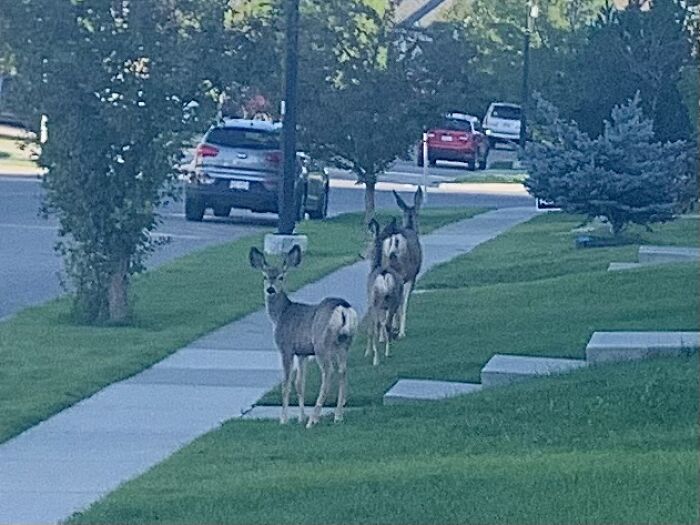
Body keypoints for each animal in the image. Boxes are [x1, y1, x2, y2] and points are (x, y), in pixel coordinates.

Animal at [249, 245, 358, 428]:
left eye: (281, 276)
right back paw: (337, 416)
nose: (270, 289)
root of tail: (343, 308)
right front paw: (300, 417)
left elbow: (286, 384)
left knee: (328, 373)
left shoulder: (286, 348)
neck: (280, 315)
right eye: (264, 276)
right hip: (344, 342)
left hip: (321, 343)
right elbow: (300, 384)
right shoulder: (302, 353)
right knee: (343, 370)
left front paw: (284, 420)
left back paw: (313, 419)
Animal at [365, 218, 404, 366]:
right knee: (387, 324)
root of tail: (384, 276)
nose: (363, 254)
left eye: (370, 243)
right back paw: (388, 352)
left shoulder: (369, 303)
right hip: (393, 301)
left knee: (376, 327)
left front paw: (367, 352)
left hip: (376, 301)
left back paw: (376, 359)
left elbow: (370, 328)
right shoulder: (385, 307)